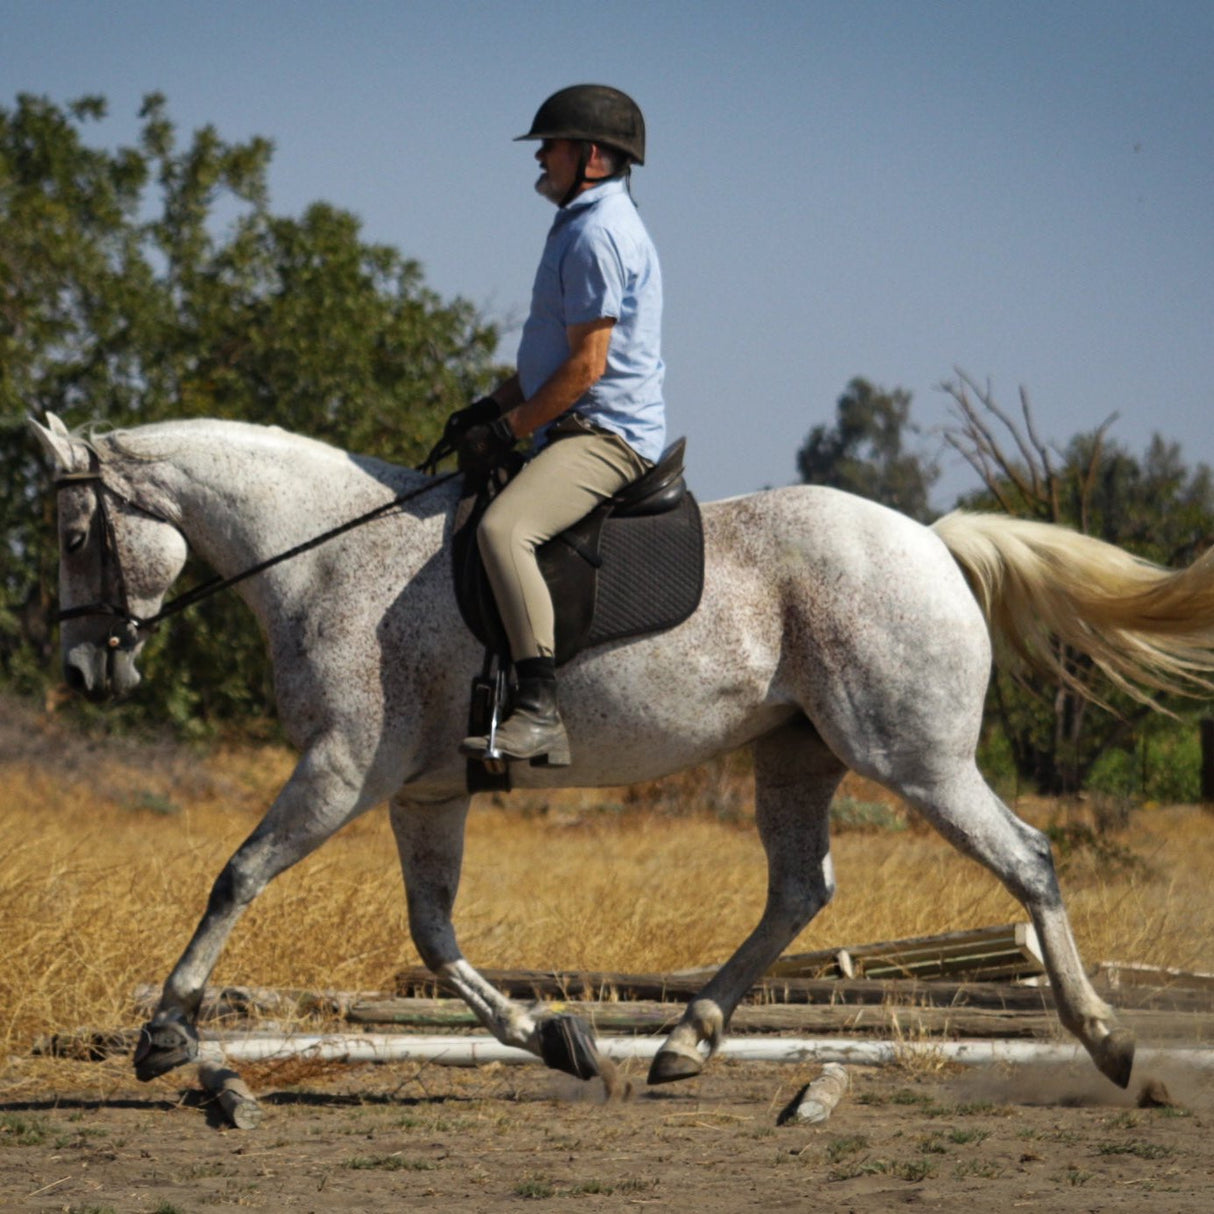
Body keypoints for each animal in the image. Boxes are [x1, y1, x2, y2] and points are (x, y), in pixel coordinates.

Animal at [26, 415, 1214, 1092]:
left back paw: (1109, 1044)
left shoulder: (339, 770)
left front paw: (163, 1033)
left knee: (1025, 858)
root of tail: (929, 538)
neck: (326, 559)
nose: (84, 670)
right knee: (799, 888)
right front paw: (551, 1036)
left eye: (78, 537)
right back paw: (684, 1040)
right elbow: (435, 936)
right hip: (797, 756)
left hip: (914, 759)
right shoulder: (424, 792)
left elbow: (237, 874)